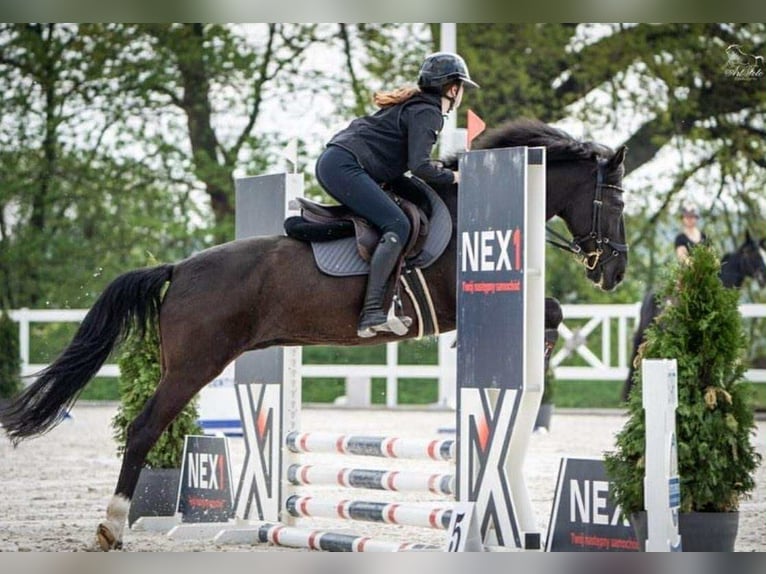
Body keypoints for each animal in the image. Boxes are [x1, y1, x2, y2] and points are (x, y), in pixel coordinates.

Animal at [0, 119, 628, 550]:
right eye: (616, 201)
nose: (614, 272)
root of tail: (179, 268)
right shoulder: (450, 300)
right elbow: (551, 308)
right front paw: (542, 345)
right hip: (194, 366)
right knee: (143, 428)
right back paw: (112, 525)